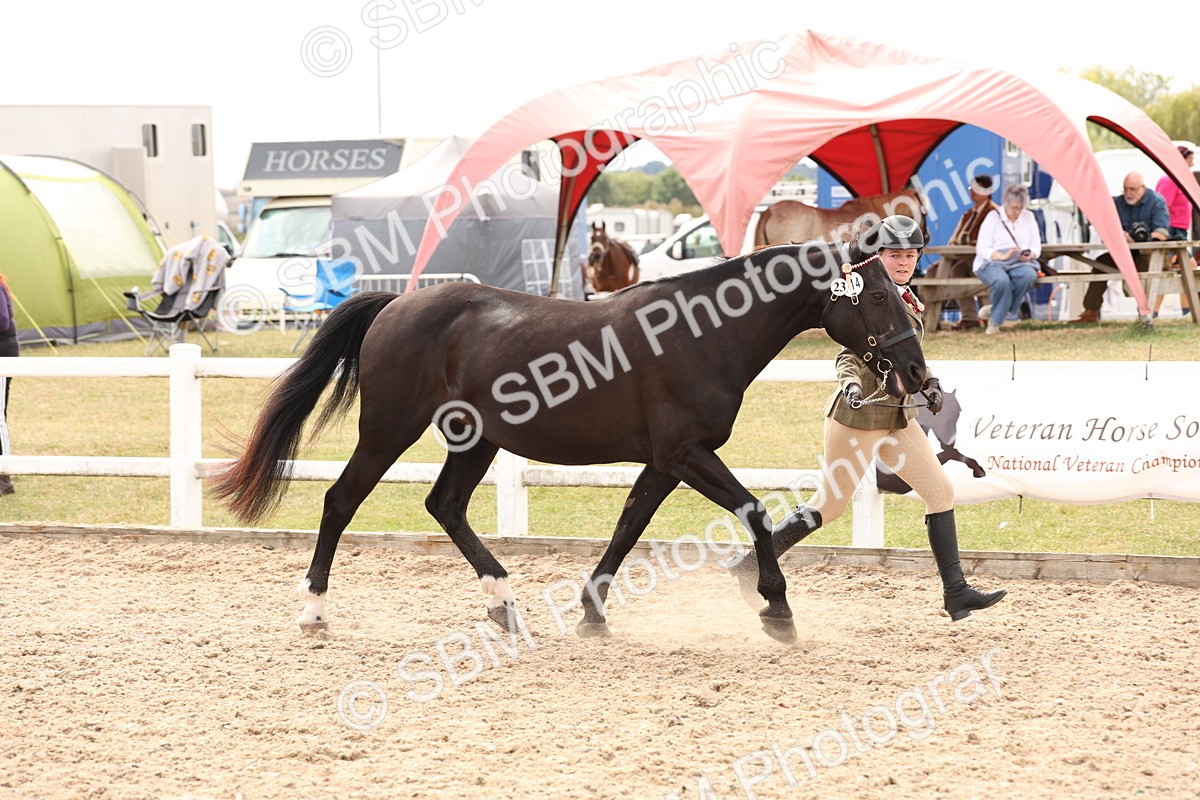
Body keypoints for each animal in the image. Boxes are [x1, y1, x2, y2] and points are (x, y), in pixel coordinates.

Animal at [210, 242, 928, 644]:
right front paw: (776, 610)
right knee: (341, 501)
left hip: (476, 442)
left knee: (445, 506)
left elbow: (628, 527)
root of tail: (395, 305)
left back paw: (504, 604)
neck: (699, 334)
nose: (918, 373)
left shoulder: (664, 462)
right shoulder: (686, 454)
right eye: (878, 301)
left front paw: (592, 612)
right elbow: (751, 510)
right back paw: (313, 612)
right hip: (390, 431)